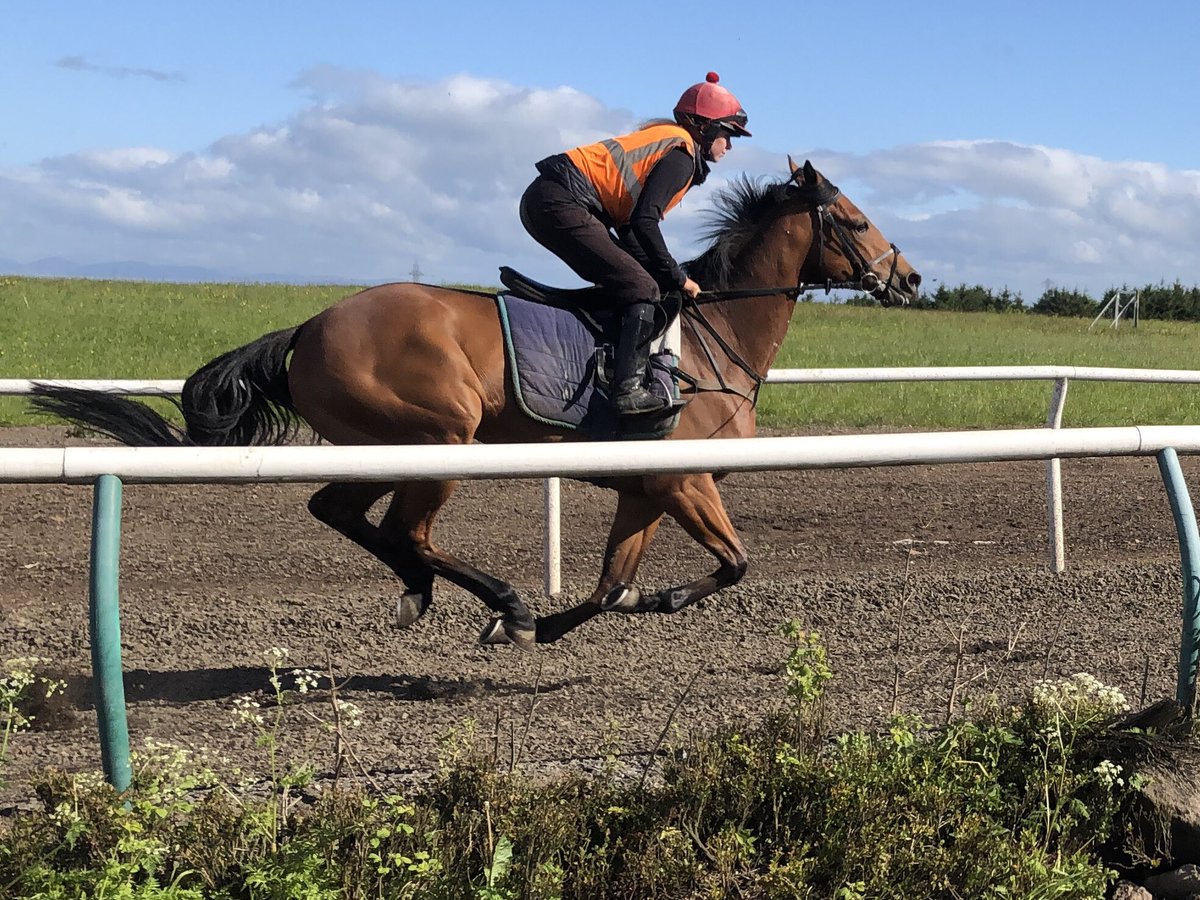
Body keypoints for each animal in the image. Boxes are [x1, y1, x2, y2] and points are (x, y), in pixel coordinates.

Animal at [35, 160, 916, 648]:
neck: (710, 335)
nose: (907, 278)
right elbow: (734, 563)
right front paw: (631, 603)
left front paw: (573, 619)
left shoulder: (646, 488)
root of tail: (311, 325)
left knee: (340, 511)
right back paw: (503, 601)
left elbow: (610, 584)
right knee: (405, 530)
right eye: (857, 219)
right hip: (440, 435)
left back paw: (432, 595)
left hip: (381, 444)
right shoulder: (683, 481)